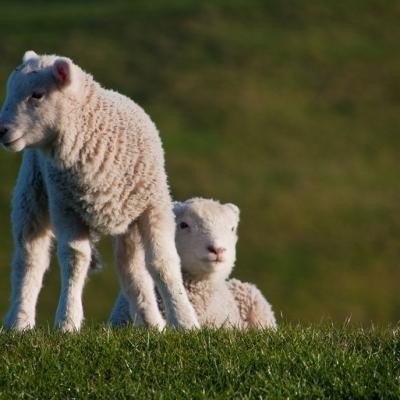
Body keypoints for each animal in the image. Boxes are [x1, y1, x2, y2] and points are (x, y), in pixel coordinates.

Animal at [0, 50, 199, 332]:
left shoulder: (155, 206)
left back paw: (151, 323)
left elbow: (163, 262)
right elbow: (74, 260)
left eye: (37, 95)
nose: (1, 131)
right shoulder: (65, 208)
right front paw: (67, 322)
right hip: (32, 191)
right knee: (30, 259)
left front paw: (185, 321)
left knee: (130, 267)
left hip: (128, 217)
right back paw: (19, 321)